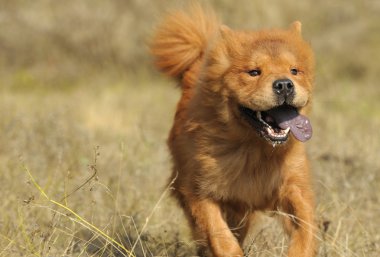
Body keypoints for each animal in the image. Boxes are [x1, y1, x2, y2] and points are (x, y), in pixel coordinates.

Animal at [150, 4, 316, 256]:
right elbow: (219, 235)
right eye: (254, 72)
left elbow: (305, 228)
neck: (257, 150)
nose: (284, 84)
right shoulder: (200, 189)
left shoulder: (294, 186)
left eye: (294, 71)